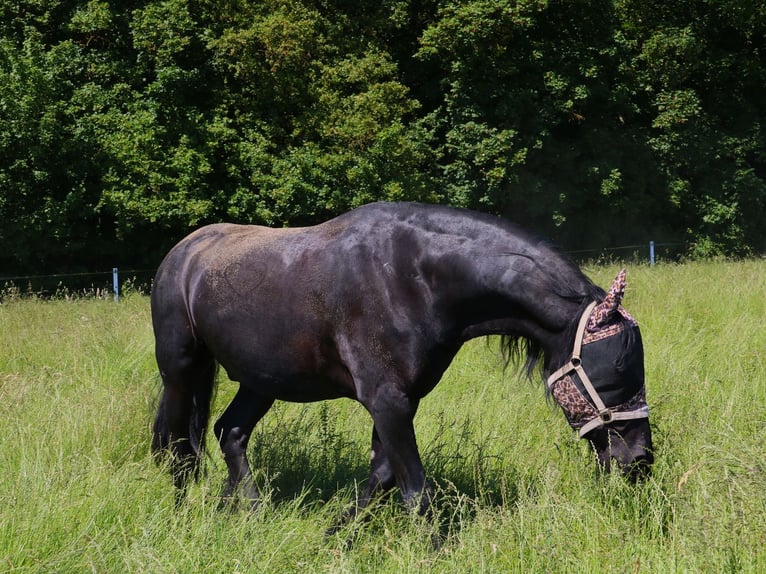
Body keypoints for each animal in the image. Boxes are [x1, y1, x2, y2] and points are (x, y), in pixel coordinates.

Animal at [150, 201, 653, 522]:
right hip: (180, 372)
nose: (639, 460)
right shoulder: (387, 401)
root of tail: (182, 253)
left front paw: (334, 536)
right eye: (617, 372)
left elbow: (383, 477)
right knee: (178, 447)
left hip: (262, 381)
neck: (415, 276)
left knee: (229, 433)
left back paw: (247, 510)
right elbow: (415, 490)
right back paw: (183, 516)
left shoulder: (398, 402)